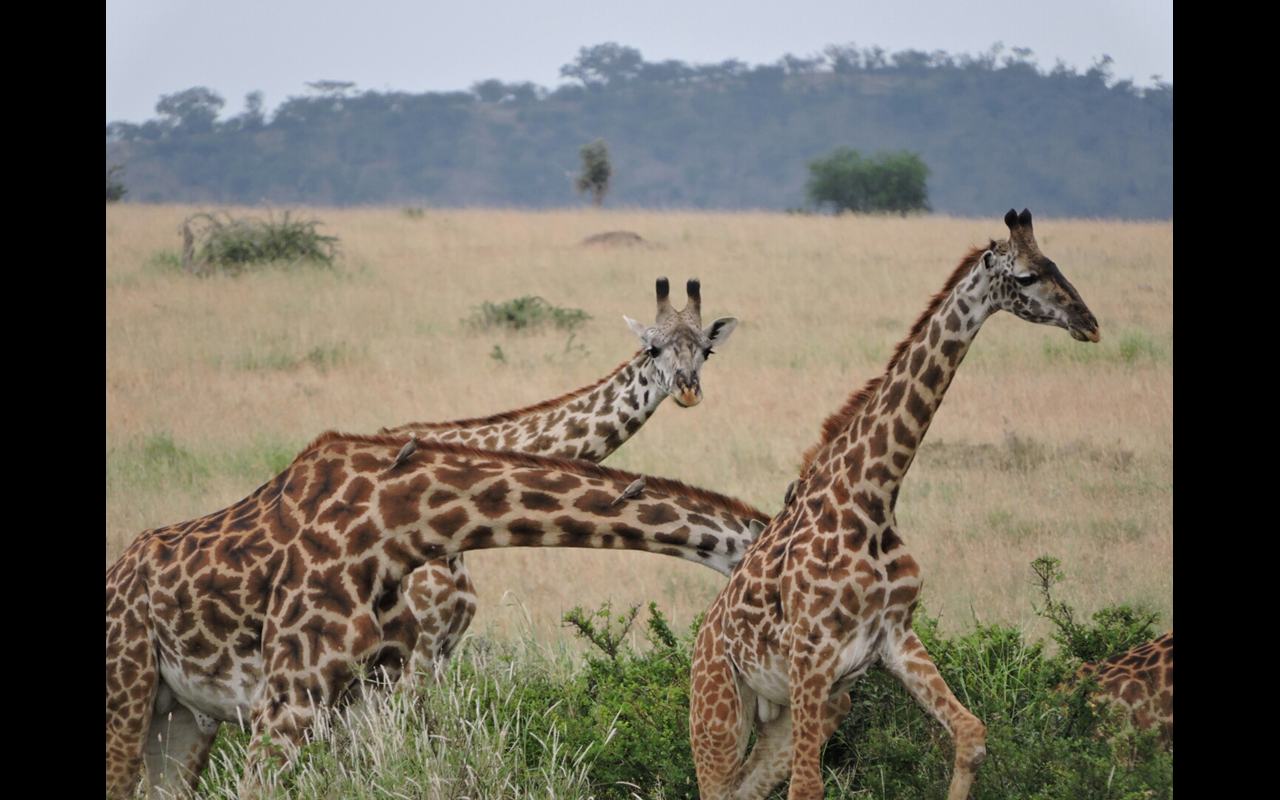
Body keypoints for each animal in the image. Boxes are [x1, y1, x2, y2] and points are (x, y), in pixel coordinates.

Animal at [691, 211, 1100, 798]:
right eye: (1026, 276)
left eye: (1056, 264)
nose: (1089, 323)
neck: (873, 497)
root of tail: (698, 644)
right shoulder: (811, 656)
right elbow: (808, 787)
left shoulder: (893, 638)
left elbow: (972, 735)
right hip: (721, 708)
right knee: (720, 783)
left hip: (793, 713)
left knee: (746, 787)